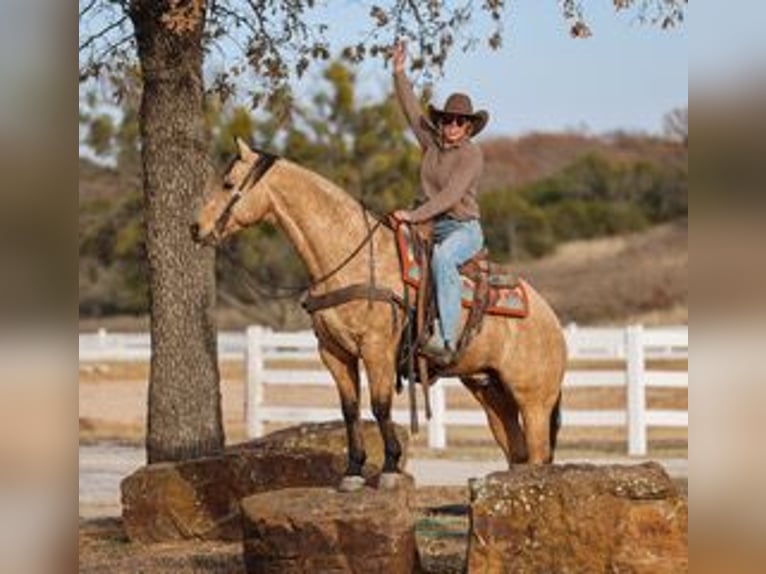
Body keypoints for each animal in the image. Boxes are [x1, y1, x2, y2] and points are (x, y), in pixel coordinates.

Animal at [193, 138, 567, 491]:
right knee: (516, 452)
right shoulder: (334, 353)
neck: (350, 258)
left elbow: (380, 405)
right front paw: (353, 471)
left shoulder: (376, 350)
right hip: (491, 393)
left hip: (533, 400)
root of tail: (551, 320)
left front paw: (389, 468)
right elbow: (350, 410)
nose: (196, 228)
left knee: (538, 453)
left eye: (227, 183)